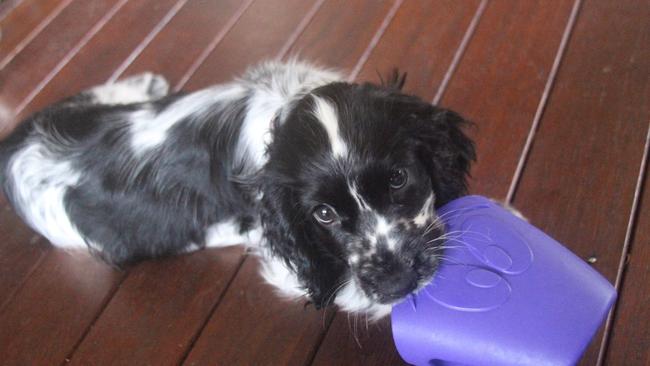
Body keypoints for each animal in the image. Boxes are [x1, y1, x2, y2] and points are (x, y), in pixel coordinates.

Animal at [1, 60, 476, 318]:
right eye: (323, 215)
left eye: (398, 178)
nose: (398, 279)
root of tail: (15, 146)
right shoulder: (288, 264)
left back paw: (143, 83)